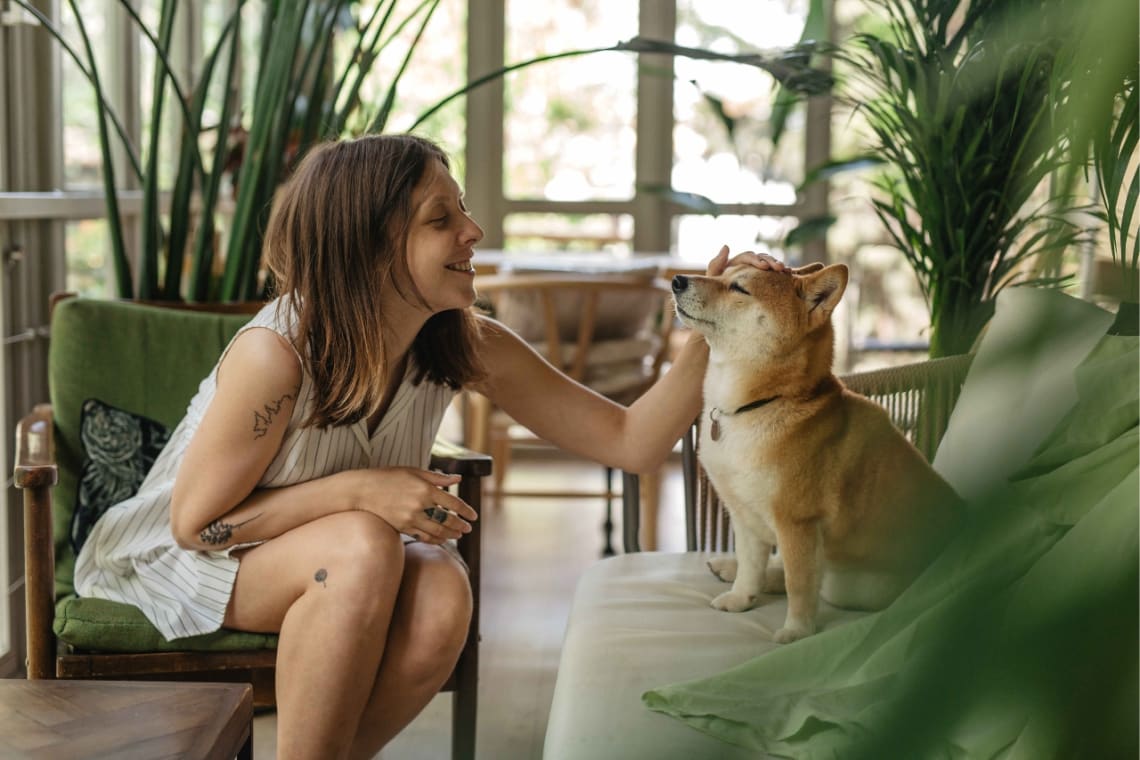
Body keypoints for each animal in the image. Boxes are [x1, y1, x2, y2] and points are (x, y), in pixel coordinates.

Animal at [674, 262, 962, 642]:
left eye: (739, 288)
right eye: (721, 274)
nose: (677, 280)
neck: (760, 406)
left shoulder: (797, 523)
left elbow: (798, 584)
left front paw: (797, 631)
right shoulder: (743, 512)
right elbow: (751, 567)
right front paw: (741, 597)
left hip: (857, 586)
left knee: (812, 579)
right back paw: (729, 567)